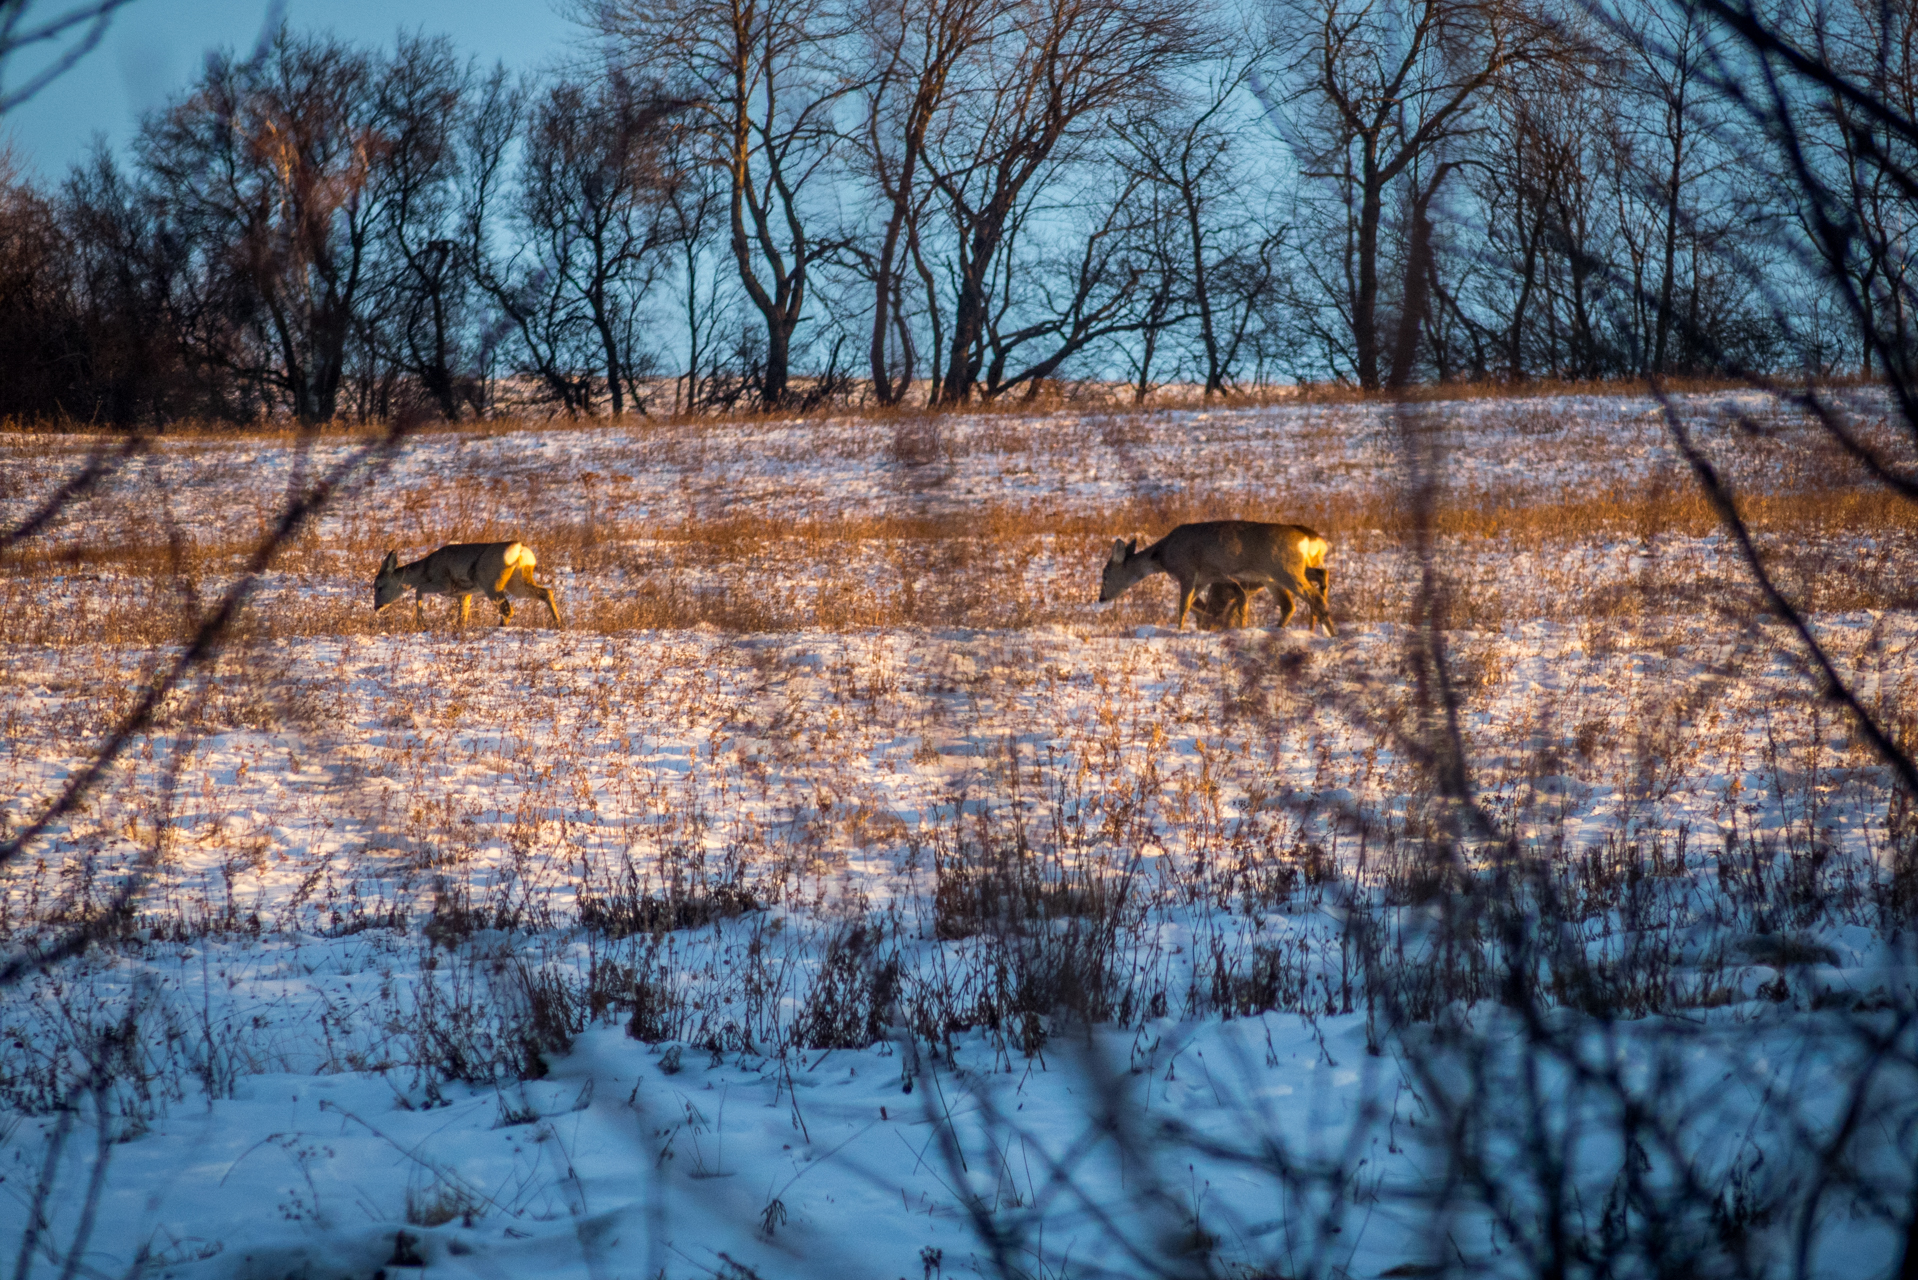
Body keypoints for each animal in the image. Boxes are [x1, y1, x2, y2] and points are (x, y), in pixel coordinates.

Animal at [370, 537, 560, 629]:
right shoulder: (464, 594)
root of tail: (520, 548)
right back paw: (558, 623)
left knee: (508, 609)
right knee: (546, 592)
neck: (426, 569)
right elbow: (463, 617)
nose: (376, 606)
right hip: (518, 582)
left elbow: (418, 590)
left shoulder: (443, 583)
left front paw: (421, 623)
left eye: (379, 587)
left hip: (492, 583)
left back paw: (498, 628)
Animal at [1097, 521, 1334, 637]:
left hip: (1285, 569)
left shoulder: (1188, 571)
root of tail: (1310, 539)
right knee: (1301, 595)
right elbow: (1195, 605)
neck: (1163, 556)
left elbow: (1183, 606)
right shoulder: (1208, 576)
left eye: (1105, 574)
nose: (1101, 598)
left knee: (1313, 598)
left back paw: (1330, 632)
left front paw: (1179, 630)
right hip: (1278, 575)